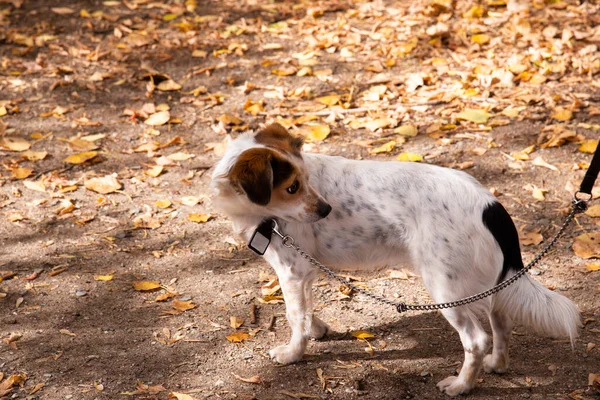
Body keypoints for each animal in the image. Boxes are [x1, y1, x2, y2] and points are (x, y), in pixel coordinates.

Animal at [212, 123, 580, 396]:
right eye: (292, 187)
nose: (326, 210)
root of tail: (491, 205)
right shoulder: (305, 271)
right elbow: (306, 311)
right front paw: (317, 330)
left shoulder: (292, 271)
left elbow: (294, 316)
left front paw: (293, 352)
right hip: (484, 286)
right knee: (501, 322)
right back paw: (496, 364)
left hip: (446, 291)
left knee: (476, 339)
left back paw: (461, 385)